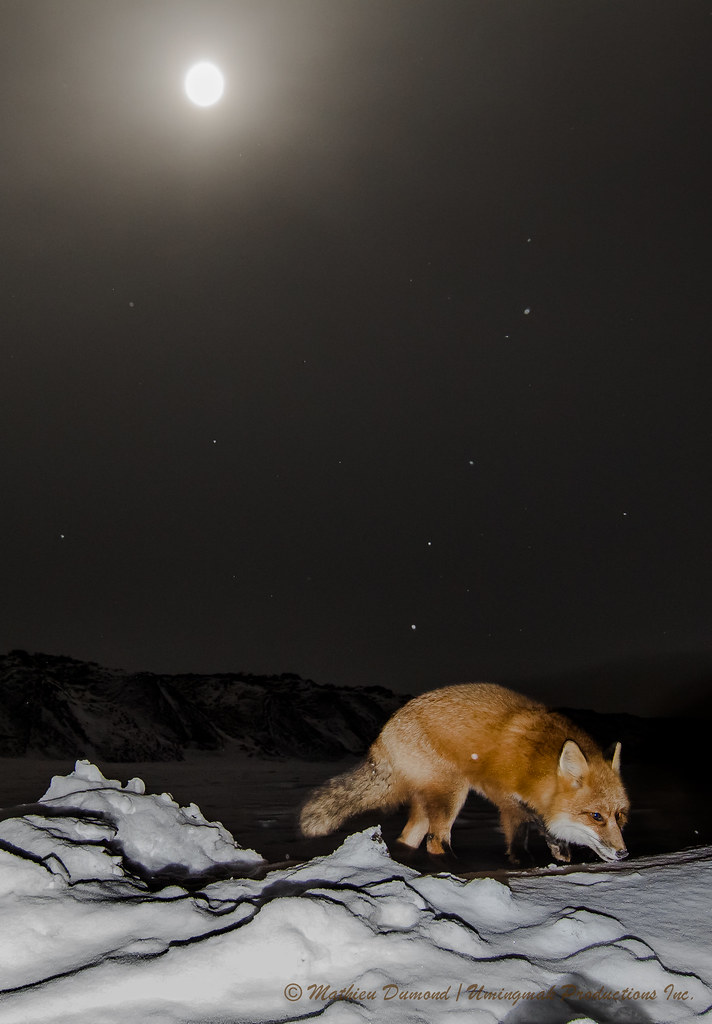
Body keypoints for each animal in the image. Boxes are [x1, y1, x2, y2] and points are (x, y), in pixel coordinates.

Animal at [300, 683, 629, 865]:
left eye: (620, 816)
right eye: (596, 816)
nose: (624, 854)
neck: (536, 765)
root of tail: (383, 732)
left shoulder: (513, 802)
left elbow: (522, 832)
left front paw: (537, 853)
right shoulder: (501, 791)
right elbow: (530, 823)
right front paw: (548, 848)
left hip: (429, 803)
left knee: (409, 839)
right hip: (453, 792)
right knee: (435, 841)